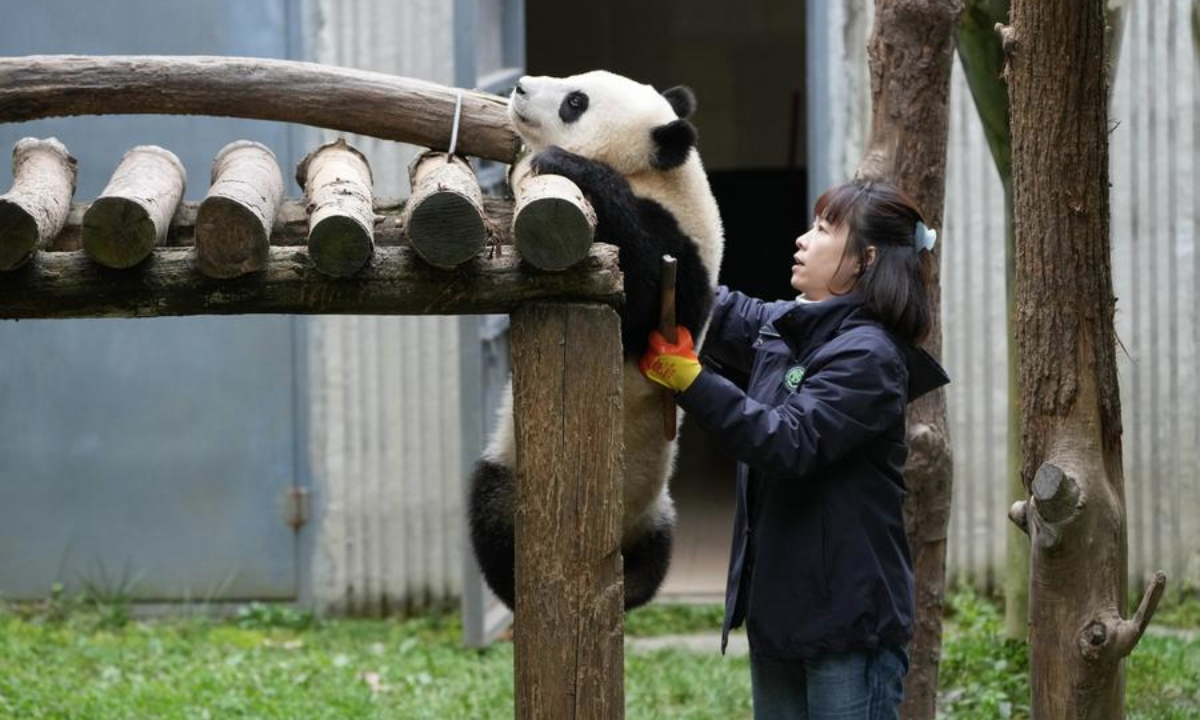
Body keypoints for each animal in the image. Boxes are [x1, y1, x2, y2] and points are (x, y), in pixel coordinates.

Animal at [468, 70, 725, 611]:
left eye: (575, 102)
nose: (521, 86)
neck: (660, 177)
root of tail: (623, 541)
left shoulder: (681, 255)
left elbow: (644, 301)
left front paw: (559, 162)